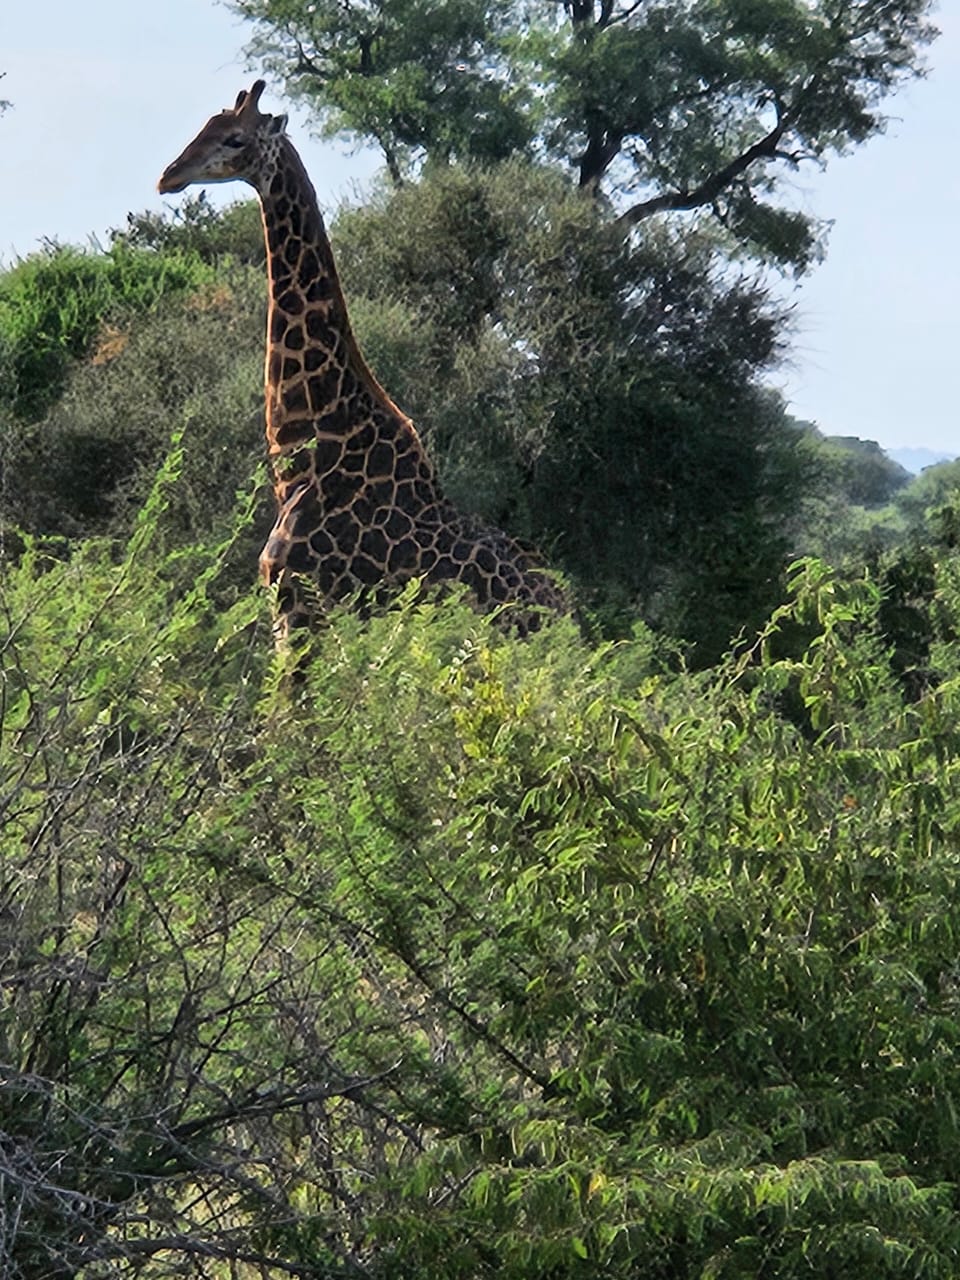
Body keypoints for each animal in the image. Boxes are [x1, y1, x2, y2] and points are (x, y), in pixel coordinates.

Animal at [158, 80, 564, 643]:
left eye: (235, 139)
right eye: (204, 127)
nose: (168, 175)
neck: (305, 453)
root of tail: (566, 612)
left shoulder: (299, 605)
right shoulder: (294, 607)